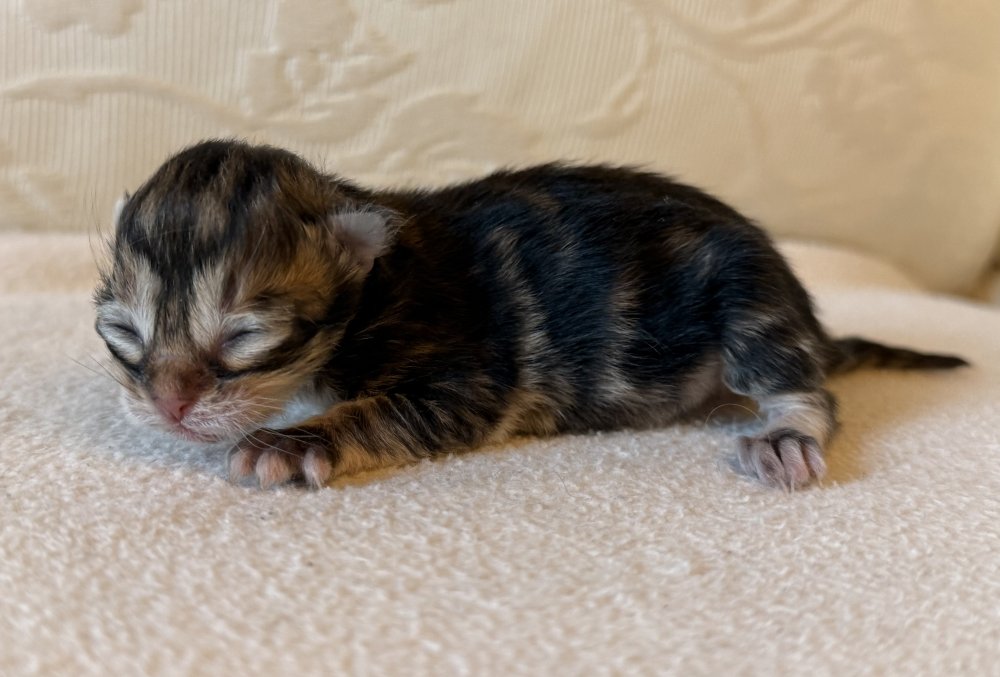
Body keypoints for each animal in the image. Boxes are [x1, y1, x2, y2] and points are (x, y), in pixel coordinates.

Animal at [94, 139, 967, 489]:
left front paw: (296, 440)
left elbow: (379, 411)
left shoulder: (467, 374)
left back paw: (787, 433)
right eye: (124, 332)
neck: (377, 288)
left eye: (246, 335)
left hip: (751, 297)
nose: (169, 406)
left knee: (806, 385)